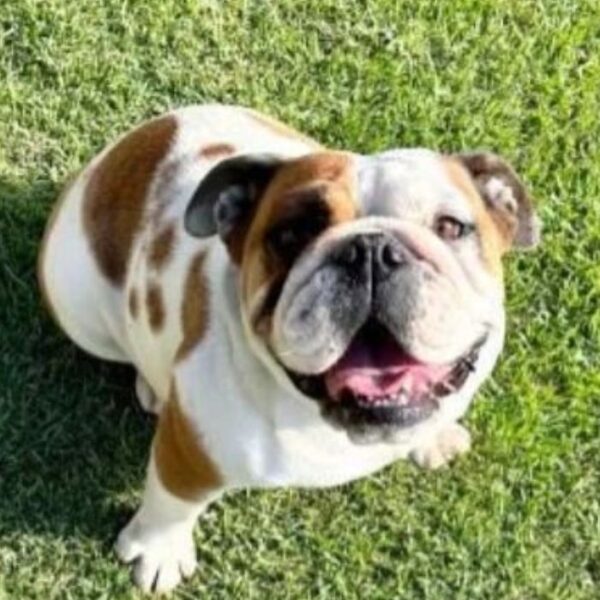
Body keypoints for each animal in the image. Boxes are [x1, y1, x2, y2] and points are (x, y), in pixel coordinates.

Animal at [38, 105, 540, 592]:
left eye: (452, 227)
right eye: (293, 233)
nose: (372, 249)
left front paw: (435, 439)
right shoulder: (189, 452)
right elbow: (171, 502)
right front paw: (158, 550)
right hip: (78, 311)